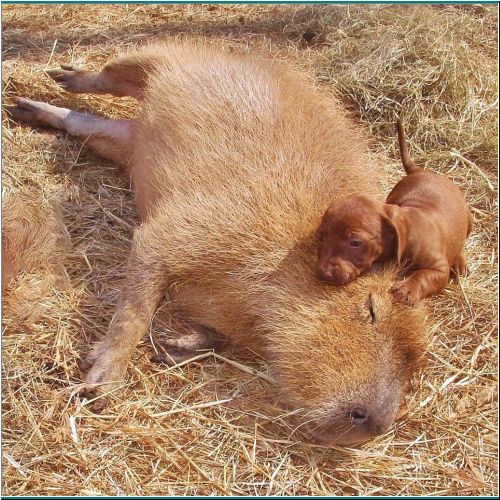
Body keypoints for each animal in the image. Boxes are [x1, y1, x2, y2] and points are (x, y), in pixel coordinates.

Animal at [316, 120, 472, 304]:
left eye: (355, 243)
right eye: (321, 237)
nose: (323, 273)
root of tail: (420, 170)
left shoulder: (439, 269)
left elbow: (423, 276)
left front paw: (408, 289)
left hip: (468, 219)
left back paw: (460, 262)